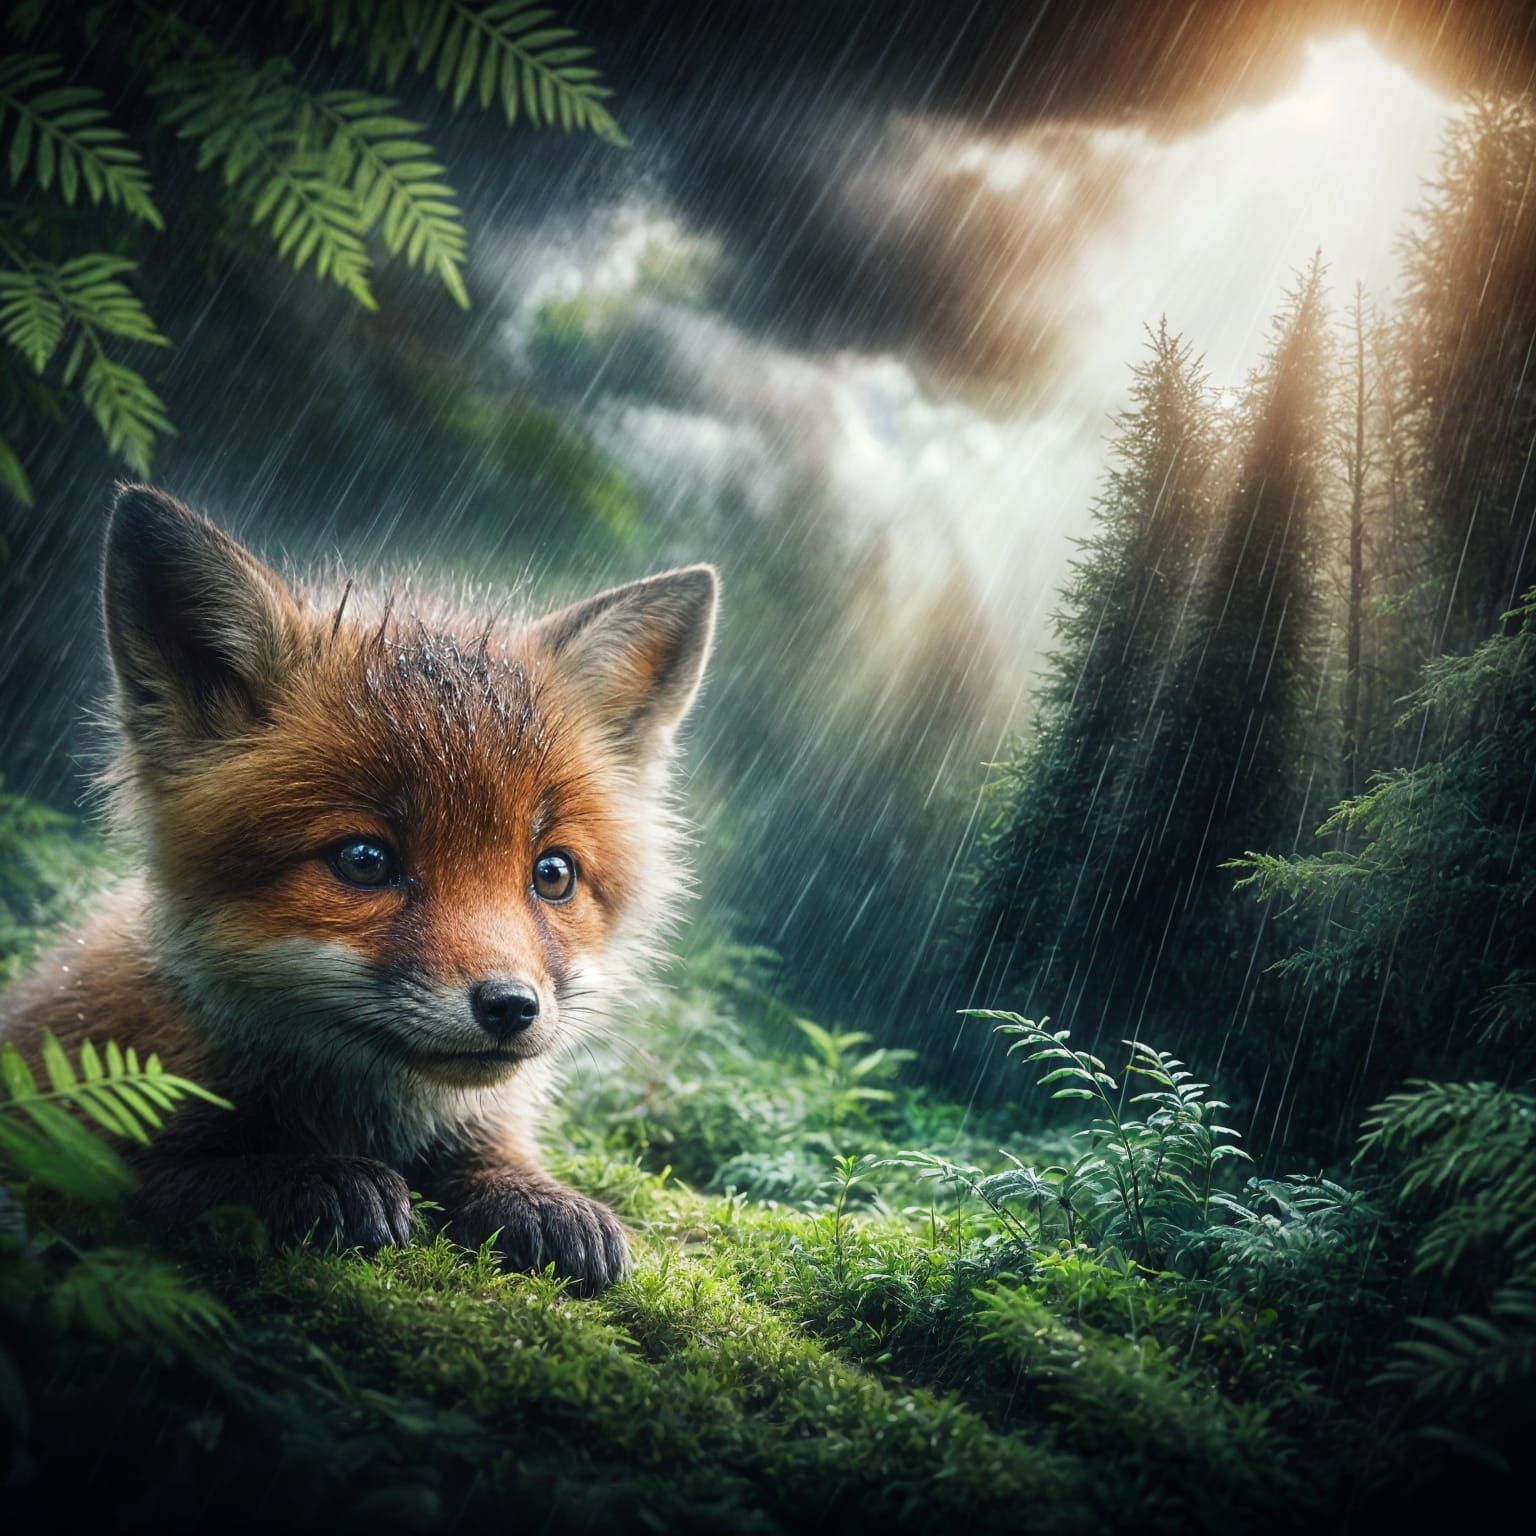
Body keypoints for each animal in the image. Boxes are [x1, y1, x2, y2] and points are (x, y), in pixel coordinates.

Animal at [0, 484, 718, 1295]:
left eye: (554, 873)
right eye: (366, 860)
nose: (511, 1007)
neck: (363, 1117)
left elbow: (493, 1160)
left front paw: (535, 1198)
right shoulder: (73, 1141)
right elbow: (178, 1178)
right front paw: (313, 1179)